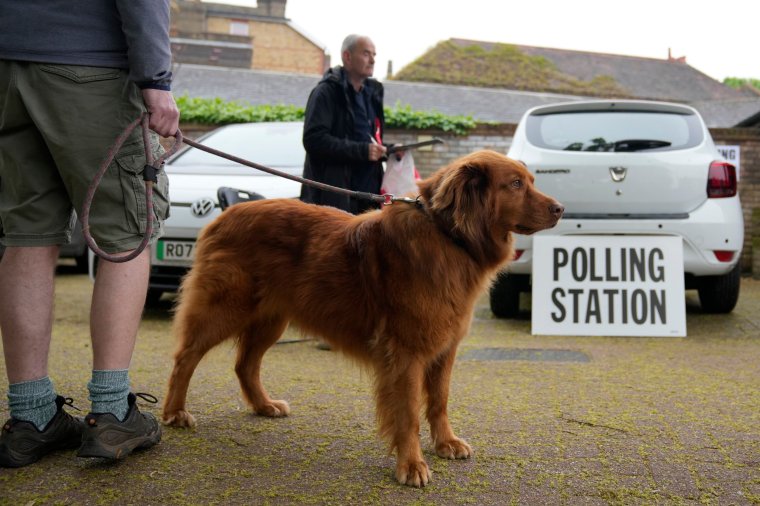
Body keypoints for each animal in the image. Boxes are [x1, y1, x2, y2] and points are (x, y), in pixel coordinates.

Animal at [162, 150, 564, 486]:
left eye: (530, 180)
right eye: (515, 184)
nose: (560, 208)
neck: (448, 236)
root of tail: (223, 215)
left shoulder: (444, 348)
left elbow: (439, 400)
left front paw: (445, 443)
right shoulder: (405, 353)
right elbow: (408, 413)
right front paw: (412, 464)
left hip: (272, 318)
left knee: (245, 364)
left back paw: (263, 406)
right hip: (224, 308)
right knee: (185, 358)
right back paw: (175, 412)